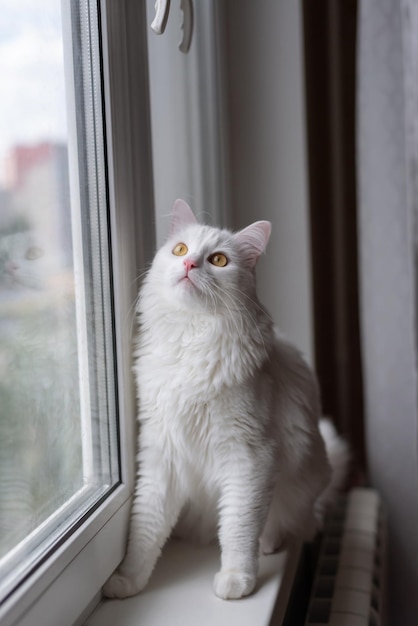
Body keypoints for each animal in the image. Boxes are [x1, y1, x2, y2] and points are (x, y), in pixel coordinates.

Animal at [103, 200, 350, 600]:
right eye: (181, 250)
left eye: (218, 260)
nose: (190, 265)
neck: (191, 340)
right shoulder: (161, 454)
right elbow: (145, 528)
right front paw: (127, 580)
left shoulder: (249, 456)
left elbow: (238, 526)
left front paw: (237, 579)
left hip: (302, 482)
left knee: (284, 523)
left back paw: (269, 543)